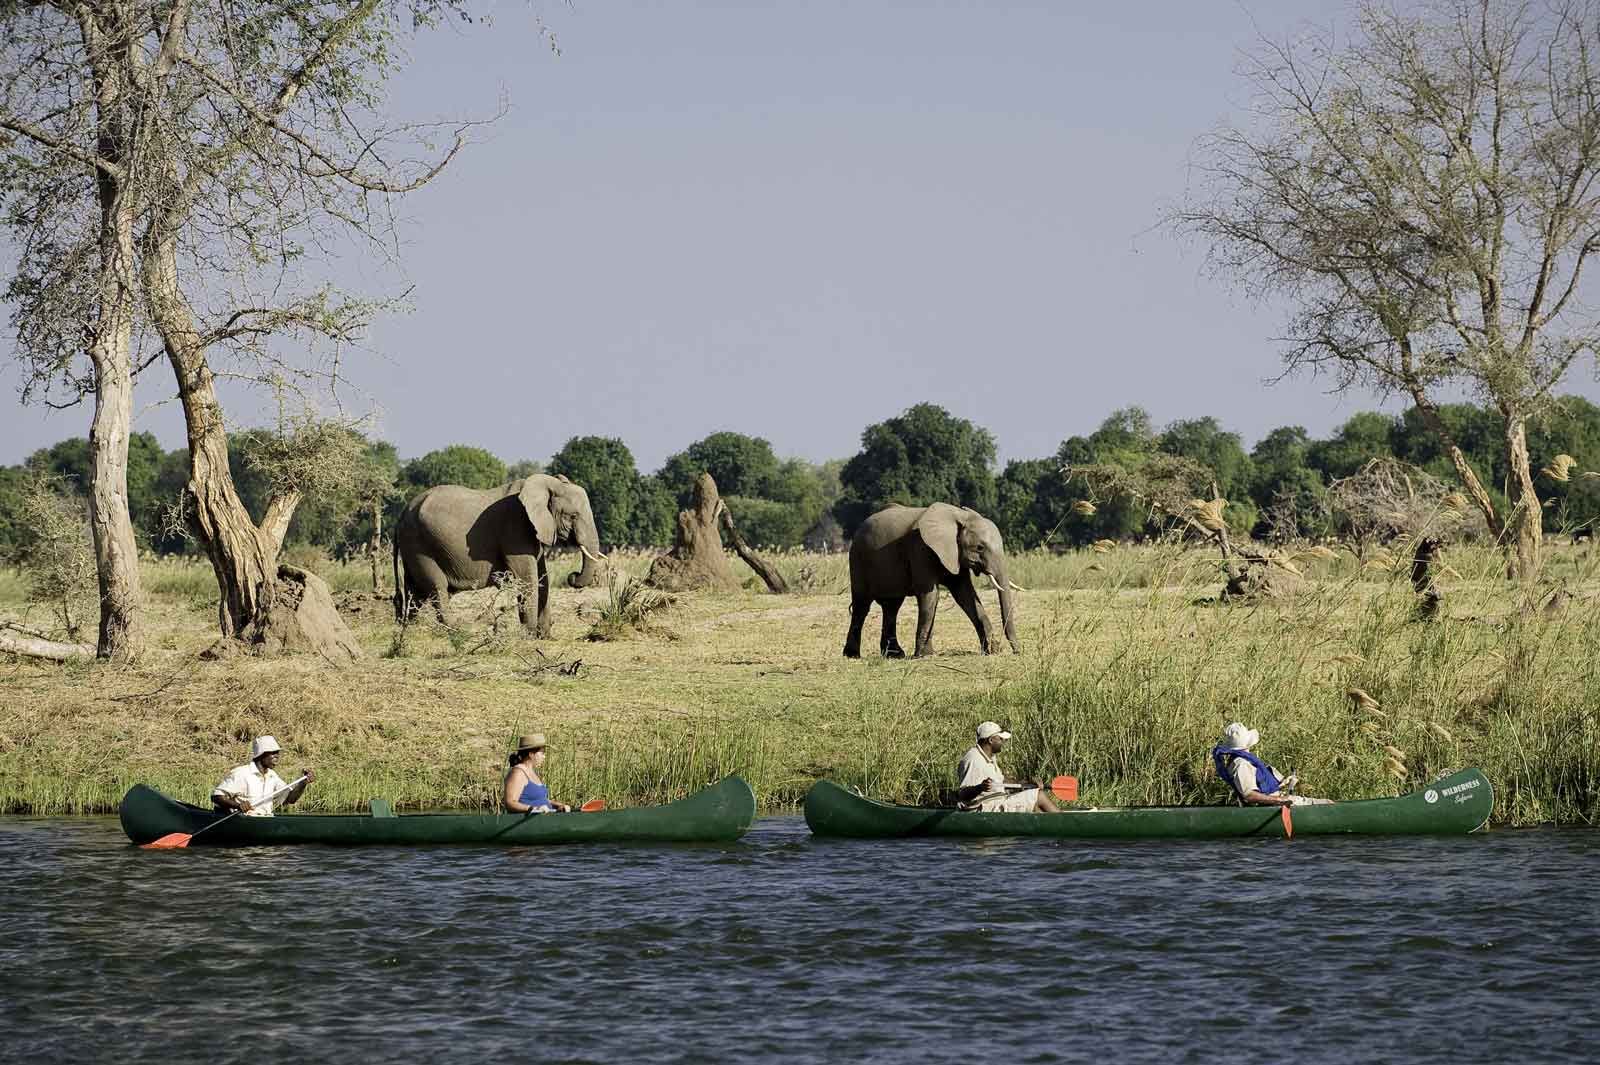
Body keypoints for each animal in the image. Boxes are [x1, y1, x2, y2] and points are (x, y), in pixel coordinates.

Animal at [393, 473, 604, 639]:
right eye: (573, 516)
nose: (572, 576)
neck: (547, 484)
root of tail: (402, 513)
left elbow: (542, 577)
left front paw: (545, 636)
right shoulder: (515, 527)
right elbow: (527, 577)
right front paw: (529, 636)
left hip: (413, 544)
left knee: (415, 591)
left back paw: (409, 630)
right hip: (420, 544)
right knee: (437, 587)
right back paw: (457, 631)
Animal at [844, 498, 1017, 655]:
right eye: (980, 548)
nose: (1017, 651)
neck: (959, 515)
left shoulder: (954, 556)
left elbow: (965, 594)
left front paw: (992, 650)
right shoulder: (920, 548)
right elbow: (930, 594)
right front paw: (924, 655)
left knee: (892, 606)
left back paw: (894, 654)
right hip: (858, 558)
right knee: (862, 605)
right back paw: (852, 654)